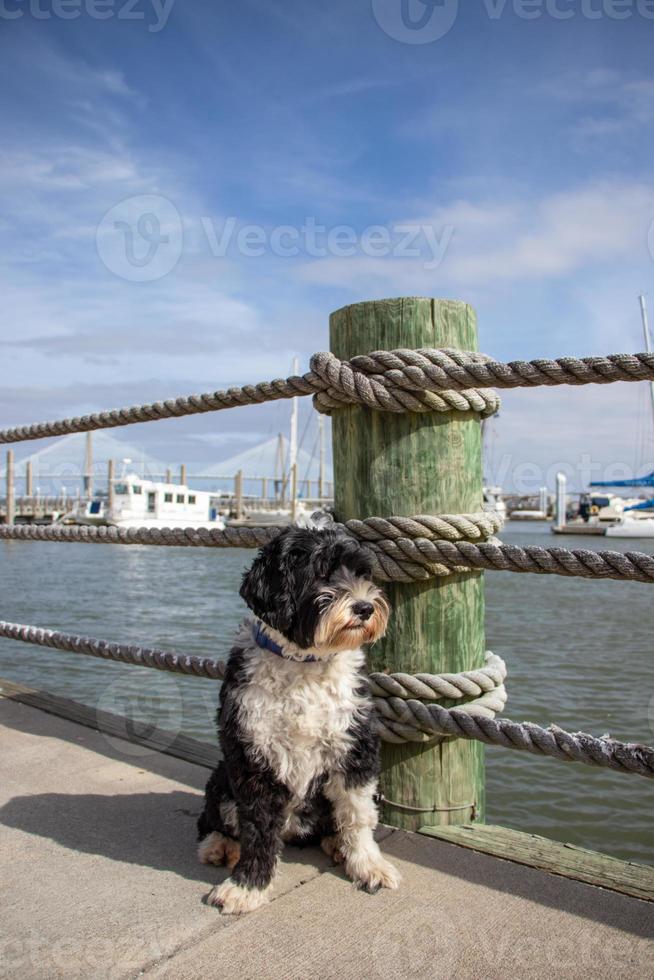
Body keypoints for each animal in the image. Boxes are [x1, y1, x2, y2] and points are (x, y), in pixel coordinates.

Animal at [197, 524, 400, 916]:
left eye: (362, 573)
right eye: (321, 574)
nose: (365, 607)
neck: (304, 666)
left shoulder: (355, 747)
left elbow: (358, 813)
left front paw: (368, 865)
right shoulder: (253, 758)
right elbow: (257, 829)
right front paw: (247, 887)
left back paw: (337, 844)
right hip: (220, 776)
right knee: (212, 818)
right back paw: (218, 845)